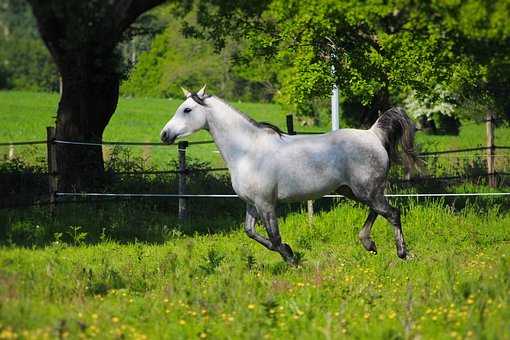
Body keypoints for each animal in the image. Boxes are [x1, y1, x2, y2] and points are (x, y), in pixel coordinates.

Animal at [160, 85, 418, 266]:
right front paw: (290, 252)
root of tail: (373, 135)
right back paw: (369, 243)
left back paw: (402, 253)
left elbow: (274, 238)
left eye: (187, 109)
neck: (247, 151)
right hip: (353, 190)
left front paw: (291, 257)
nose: (164, 135)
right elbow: (250, 232)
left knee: (392, 213)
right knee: (380, 211)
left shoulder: (266, 204)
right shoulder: (252, 204)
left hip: (367, 190)